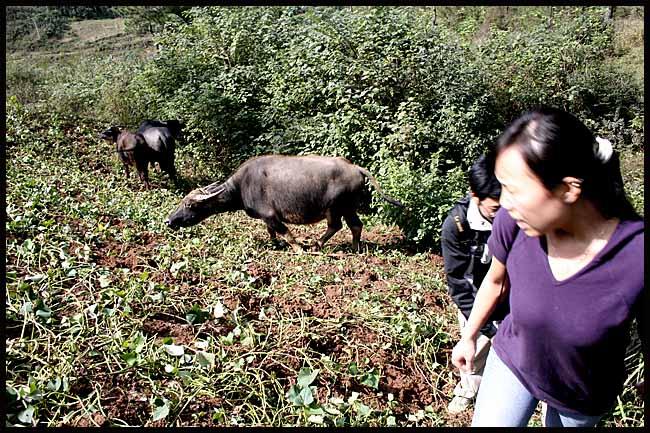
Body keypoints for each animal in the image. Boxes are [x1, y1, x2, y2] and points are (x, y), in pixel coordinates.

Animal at [165, 154, 402, 251]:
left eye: (190, 205)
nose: (169, 221)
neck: (241, 186)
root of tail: (355, 168)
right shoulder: (267, 219)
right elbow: (271, 232)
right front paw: (274, 244)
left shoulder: (271, 215)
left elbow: (286, 233)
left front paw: (298, 249)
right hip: (348, 207)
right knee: (356, 225)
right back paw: (355, 248)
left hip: (335, 208)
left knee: (336, 226)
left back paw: (316, 245)